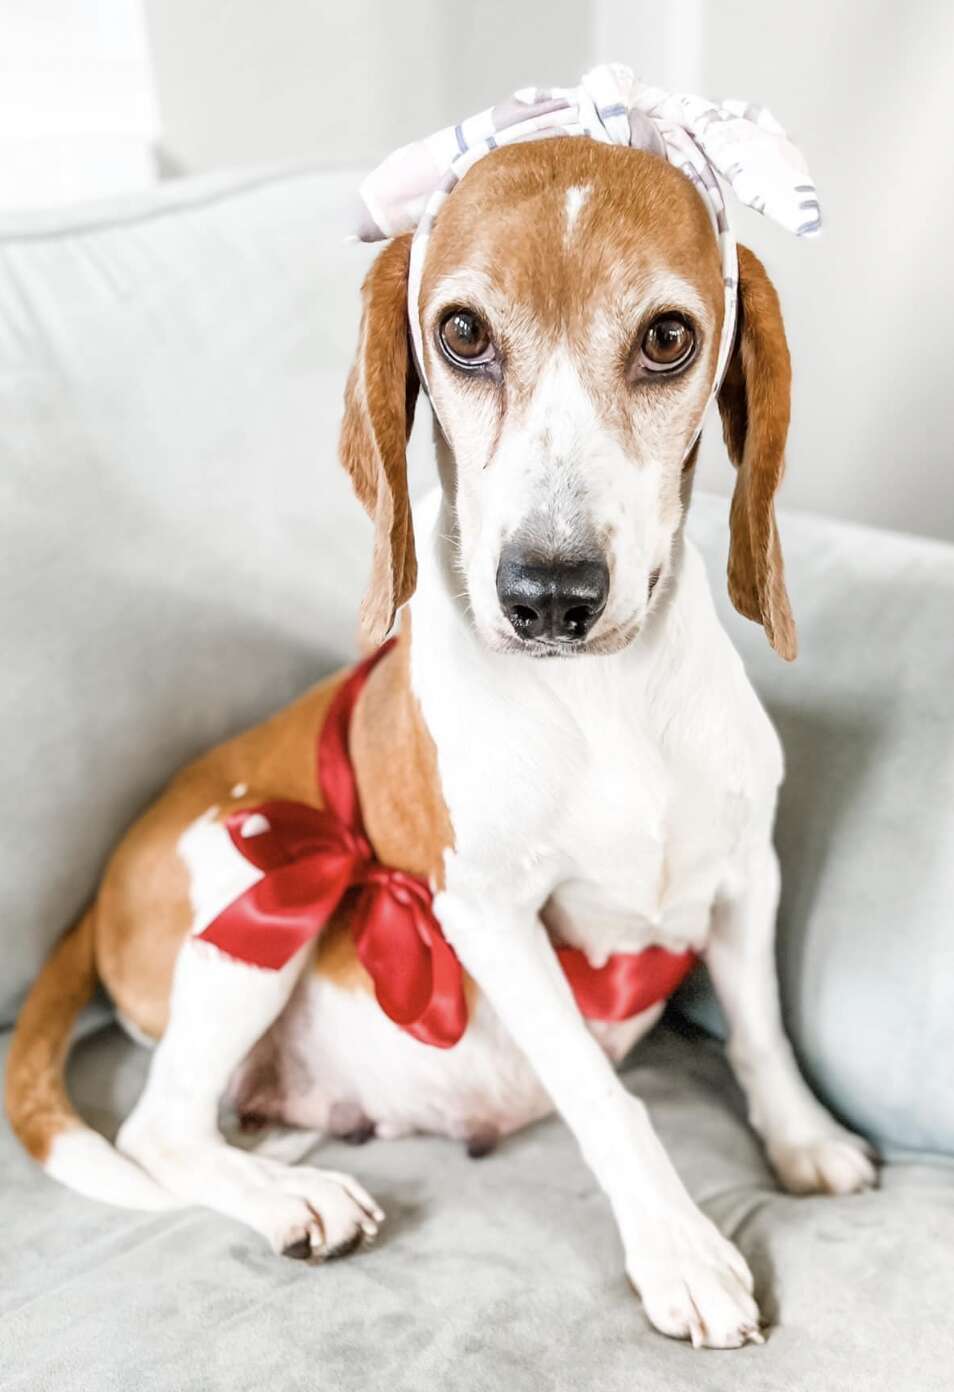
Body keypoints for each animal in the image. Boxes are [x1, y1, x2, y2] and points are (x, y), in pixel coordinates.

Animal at [7, 132, 874, 1347]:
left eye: (667, 338)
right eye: (463, 333)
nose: (549, 594)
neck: (603, 702)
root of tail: (97, 894)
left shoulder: (748, 874)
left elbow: (762, 1034)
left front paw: (800, 1139)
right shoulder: (493, 921)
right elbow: (606, 1096)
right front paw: (681, 1249)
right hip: (252, 872)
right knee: (161, 1128)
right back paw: (294, 1198)